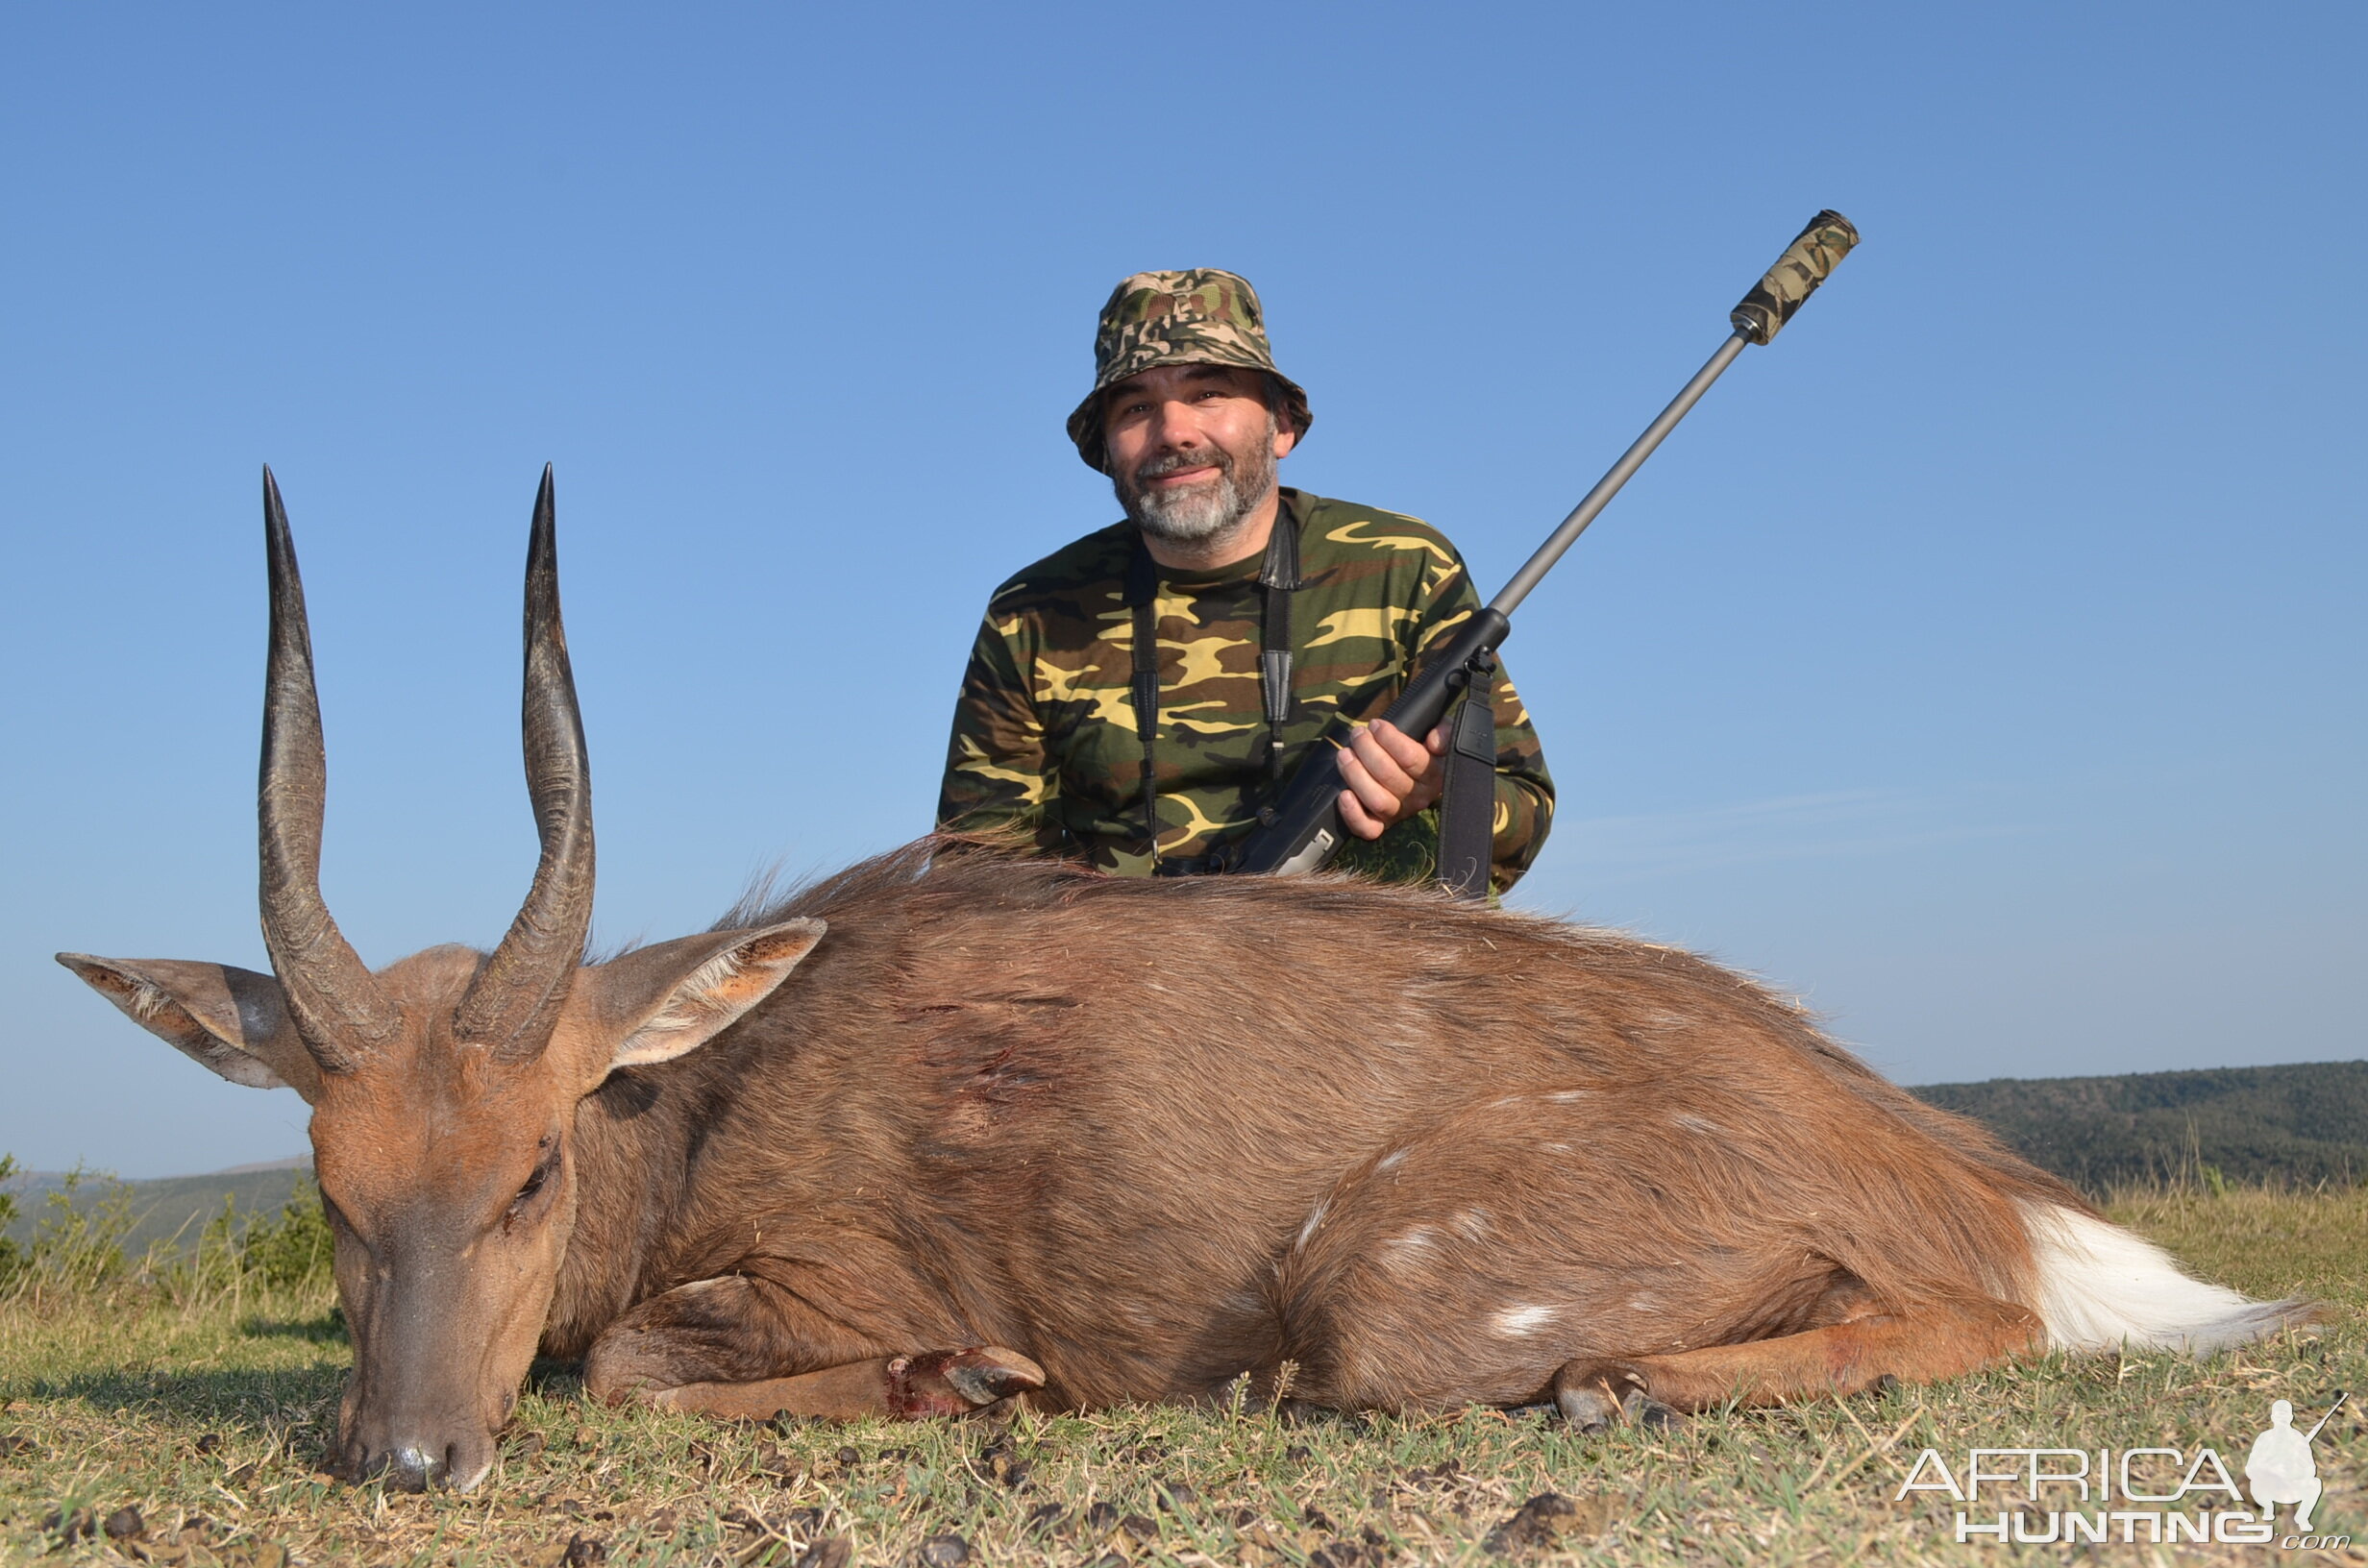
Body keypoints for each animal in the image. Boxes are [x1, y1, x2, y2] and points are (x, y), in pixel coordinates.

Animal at [60, 469, 2310, 1497]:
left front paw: (969, 1376)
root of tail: (1947, 1166)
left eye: (528, 1170)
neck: (691, 1103)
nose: (401, 1457)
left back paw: (1627, 1381)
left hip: (1391, 1285)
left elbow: (630, 1360)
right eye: (330, 1194)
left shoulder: (833, 1265)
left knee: (1952, 1319)